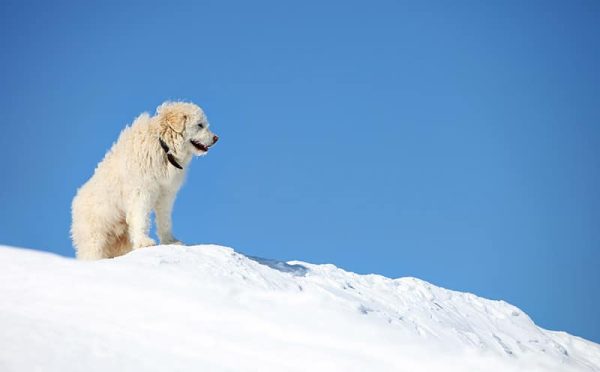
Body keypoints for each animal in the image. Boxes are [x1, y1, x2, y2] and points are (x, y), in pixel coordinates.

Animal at [72, 100, 219, 260]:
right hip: (95, 238)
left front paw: (170, 241)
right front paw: (145, 242)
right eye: (200, 125)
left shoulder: (165, 194)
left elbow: (164, 220)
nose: (216, 138)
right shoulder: (141, 191)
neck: (163, 145)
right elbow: (141, 217)